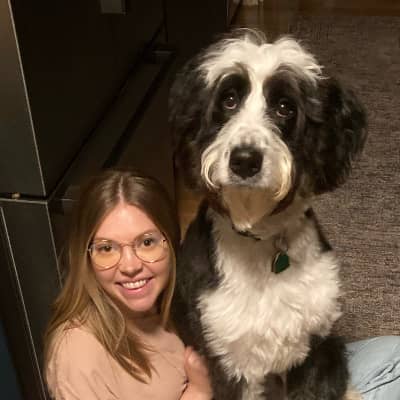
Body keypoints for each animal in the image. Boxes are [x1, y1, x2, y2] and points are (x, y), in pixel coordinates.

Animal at [169, 29, 367, 400]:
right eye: (229, 100)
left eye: (285, 107)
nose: (245, 160)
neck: (262, 238)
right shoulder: (230, 358)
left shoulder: (314, 346)